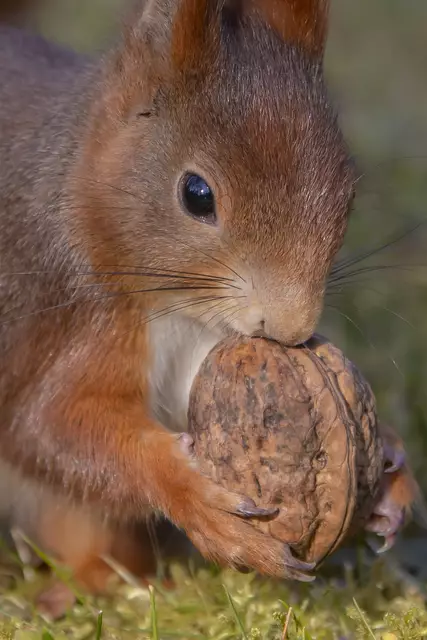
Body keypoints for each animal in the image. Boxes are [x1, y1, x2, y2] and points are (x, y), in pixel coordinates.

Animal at [0, 0, 422, 619]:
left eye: (348, 192)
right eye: (196, 194)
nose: (291, 328)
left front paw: (389, 457)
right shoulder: (75, 312)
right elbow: (45, 428)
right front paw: (198, 498)